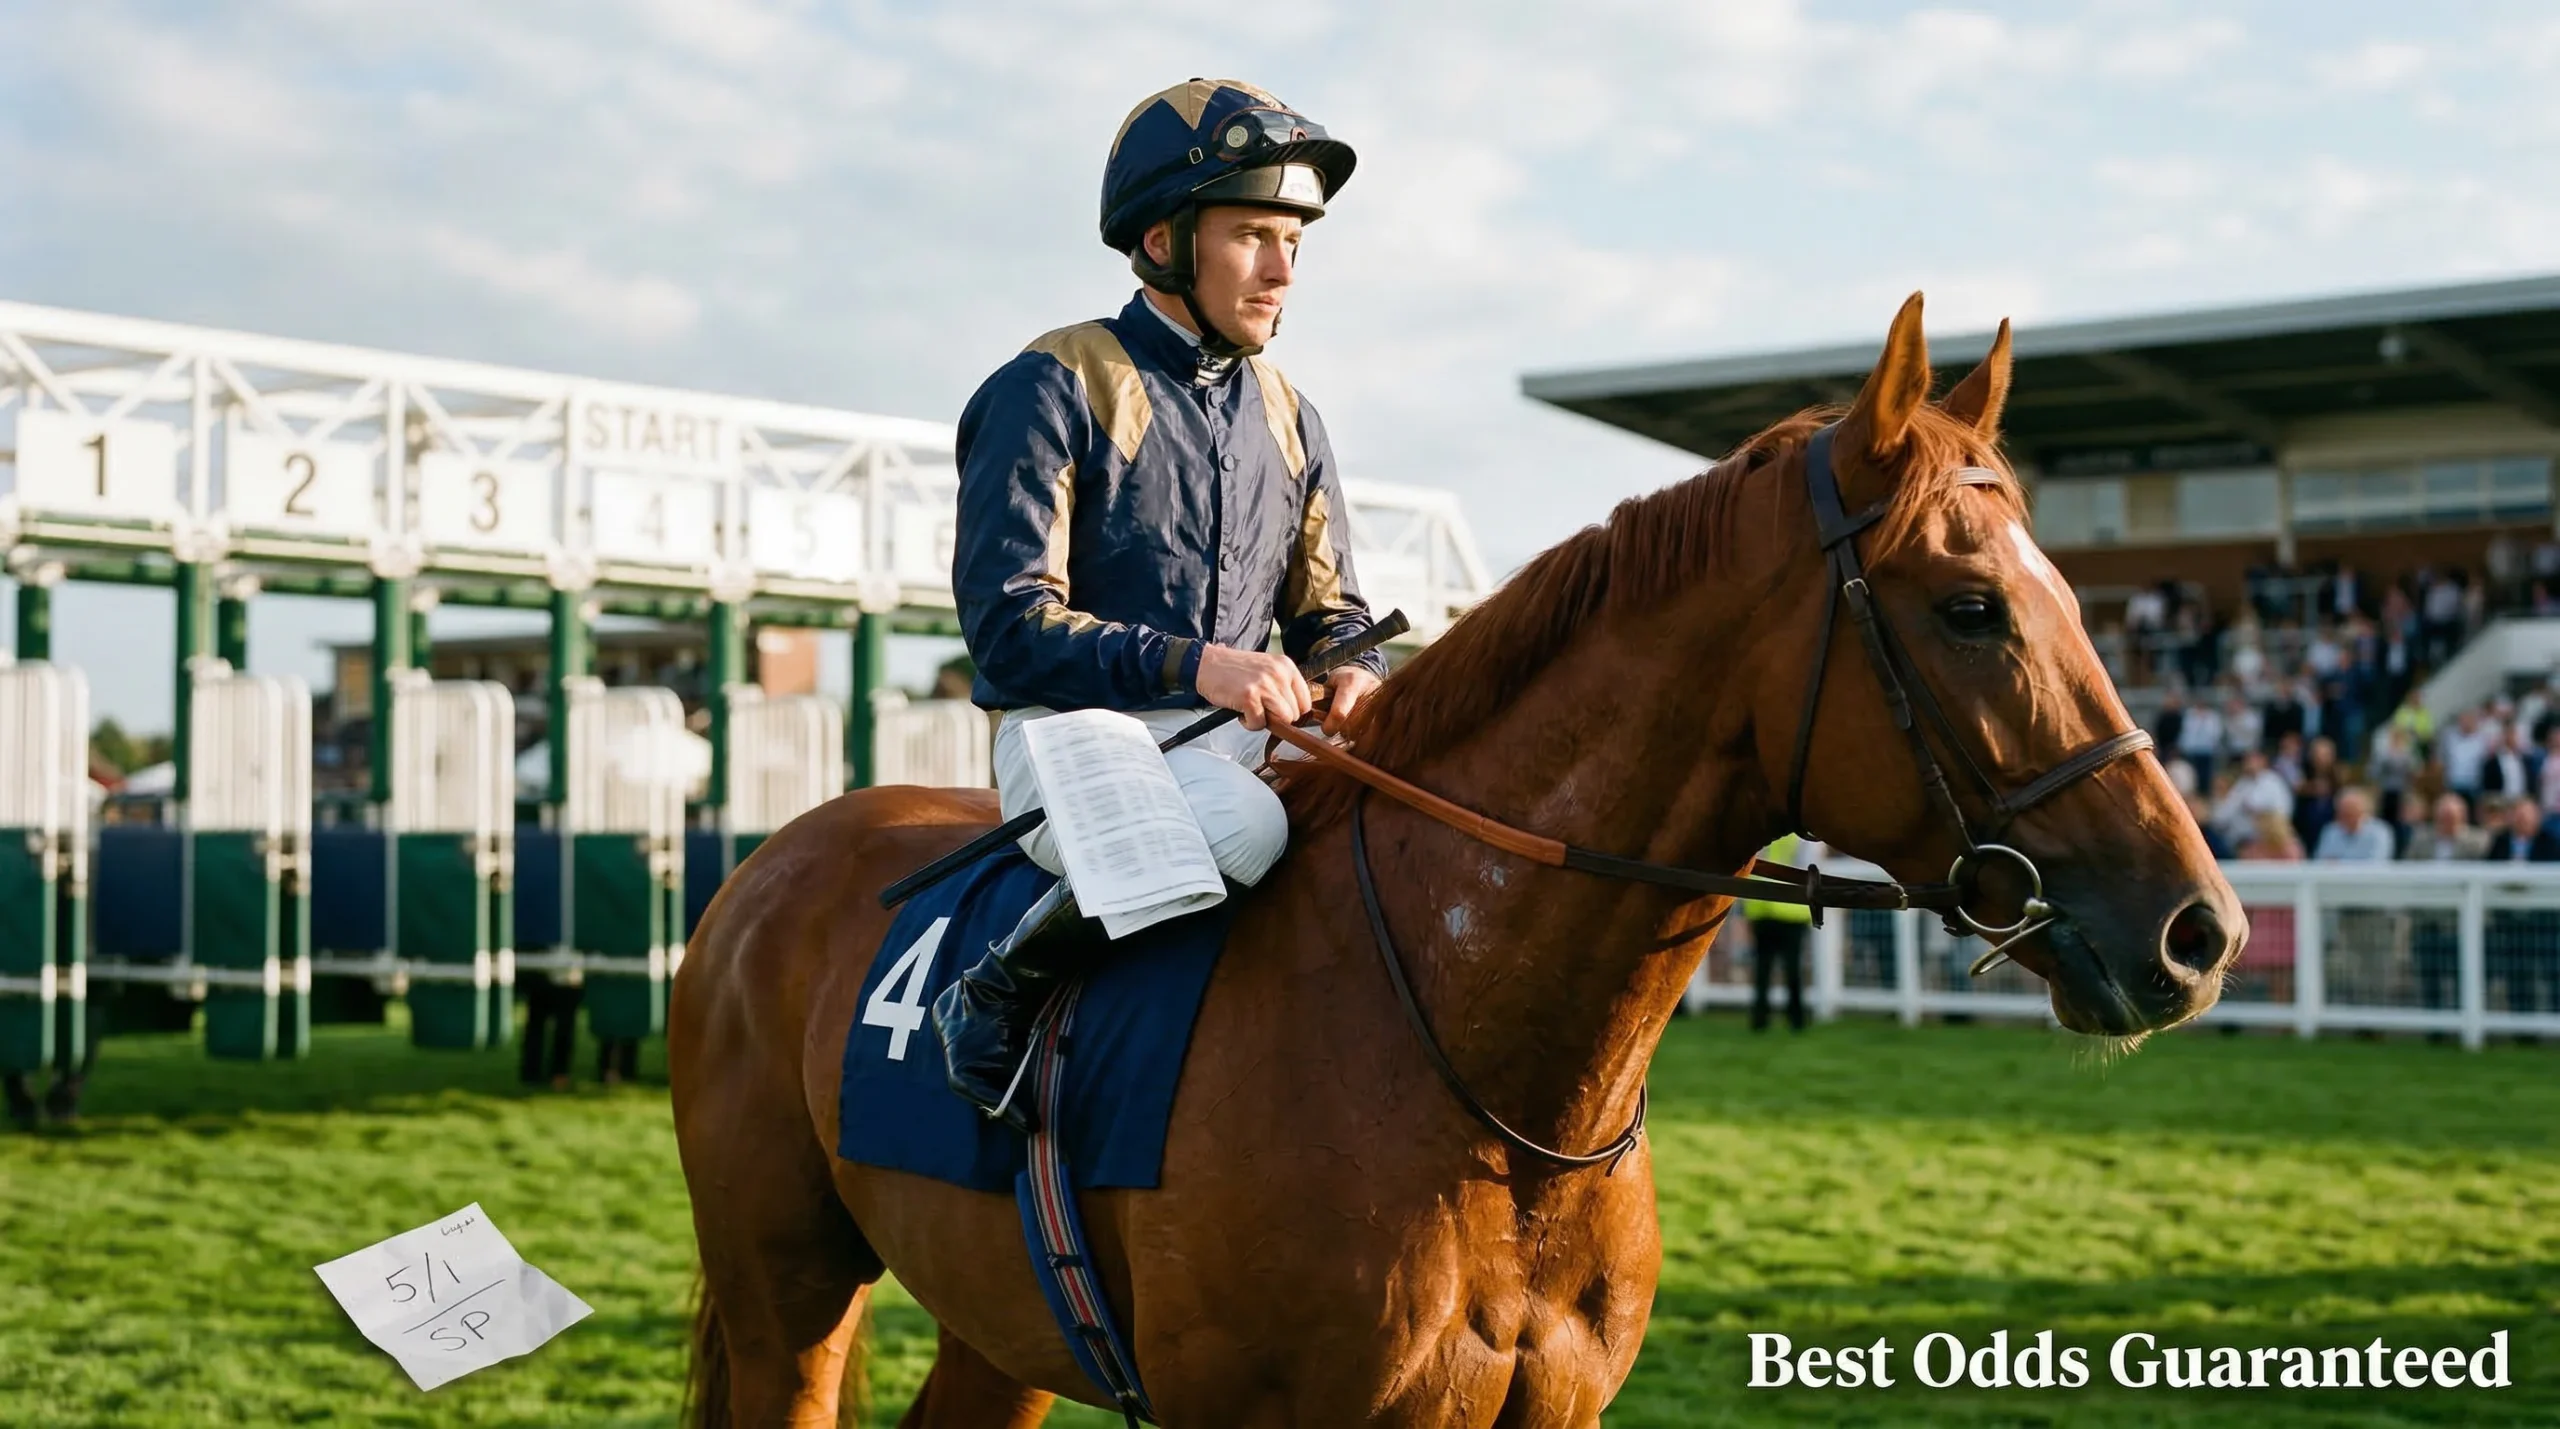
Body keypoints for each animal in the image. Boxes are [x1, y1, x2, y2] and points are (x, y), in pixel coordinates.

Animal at [670, 293, 2243, 1428]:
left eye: (2066, 592)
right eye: (1973, 606)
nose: (2198, 932)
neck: (1484, 1079)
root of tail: (768, 859)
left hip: (995, 1321)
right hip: (783, 1289)